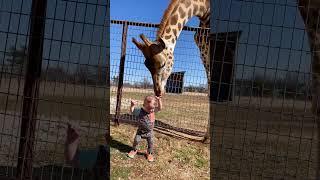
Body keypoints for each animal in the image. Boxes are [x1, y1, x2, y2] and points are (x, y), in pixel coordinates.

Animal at [131, 0, 211, 141]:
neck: (204, 10)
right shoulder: (204, 52)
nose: (158, 92)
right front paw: (207, 137)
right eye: (146, 65)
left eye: (163, 64)